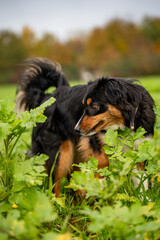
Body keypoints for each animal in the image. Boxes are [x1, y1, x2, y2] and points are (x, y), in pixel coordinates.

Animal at [15, 57, 155, 196]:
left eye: (94, 107)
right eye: (83, 107)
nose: (76, 129)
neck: (121, 126)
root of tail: (45, 98)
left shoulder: (139, 147)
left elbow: (141, 177)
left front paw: (144, 199)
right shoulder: (93, 141)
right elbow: (102, 161)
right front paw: (101, 183)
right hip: (60, 153)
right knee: (54, 182)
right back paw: (58, 200)